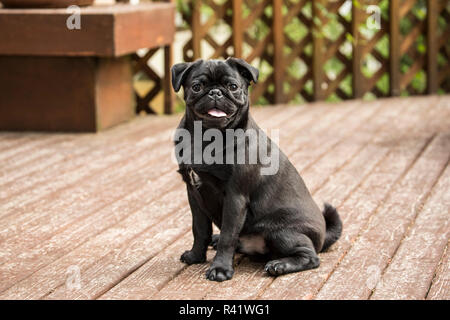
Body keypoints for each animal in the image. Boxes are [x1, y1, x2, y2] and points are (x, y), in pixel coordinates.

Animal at [171, 58, 342, 282]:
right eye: (197, 87)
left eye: (233, 86)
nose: (215, 92)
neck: (207, 137)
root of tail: (322, 235)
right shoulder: (194, 194)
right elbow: (199, 229)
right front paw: (196, 256)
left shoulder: (235, 197)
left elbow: (228, 236)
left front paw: (220, 269)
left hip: (282, 232)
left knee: (311, 257)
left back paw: (280, 265)